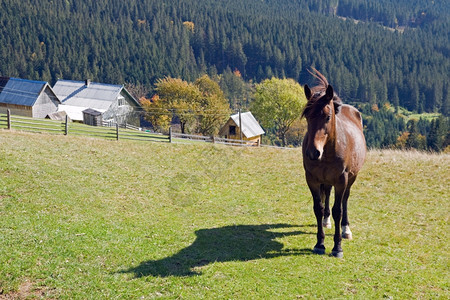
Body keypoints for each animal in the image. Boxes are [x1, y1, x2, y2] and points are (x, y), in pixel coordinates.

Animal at [302, 68, 366, 258]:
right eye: (307, 116)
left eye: (327, 116)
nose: (313, 152)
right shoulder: (312, 179)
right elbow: (318, 207)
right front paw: (320, 244)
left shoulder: (341, 180)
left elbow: (338, 210)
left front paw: (337, 247)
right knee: (328, 195)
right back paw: (326, 221)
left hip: (351, 178)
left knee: (345, 200)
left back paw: (346, 229)